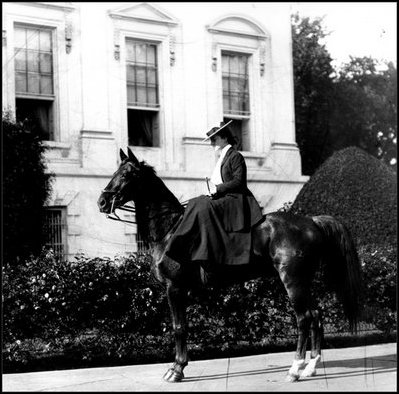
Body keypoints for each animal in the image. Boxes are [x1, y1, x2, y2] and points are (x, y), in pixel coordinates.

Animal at [98, 147, 364, 382]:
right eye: (116, 171)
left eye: (126, 174)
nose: (102, 201)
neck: (170, 228)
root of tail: (312, 221)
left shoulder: (174, 288)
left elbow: (179, 327)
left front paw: (177, 369)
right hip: (304, 281)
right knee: (316, 315)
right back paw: (311, 366)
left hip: (293, 281)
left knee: (304, 318)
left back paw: (295, 369)